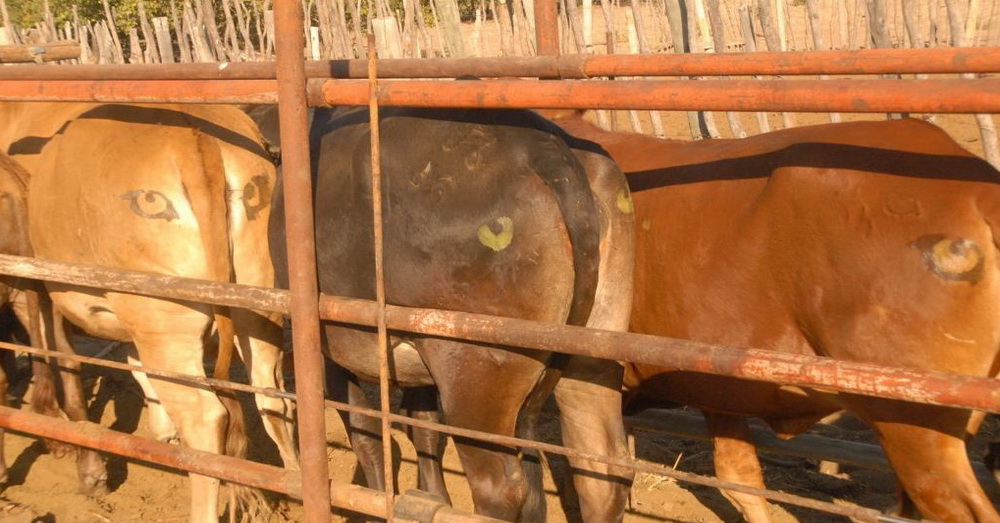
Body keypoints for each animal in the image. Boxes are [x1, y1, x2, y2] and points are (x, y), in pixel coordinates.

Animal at [0, 103, 296, 523]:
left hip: (165, 321)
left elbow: (66, 372)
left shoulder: (50, 291)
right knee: (274, 400)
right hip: (257, 303)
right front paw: (160, 429)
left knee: (205, 417)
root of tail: (192, 132)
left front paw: (89, 471)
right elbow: (133, 364)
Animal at [270, 106, 636, 523]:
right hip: (594, 351)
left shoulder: (330, 343)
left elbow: (366, 433)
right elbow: (425, 429)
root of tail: (542, 144)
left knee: (500, 487)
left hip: (474, 366)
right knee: (604, 471)